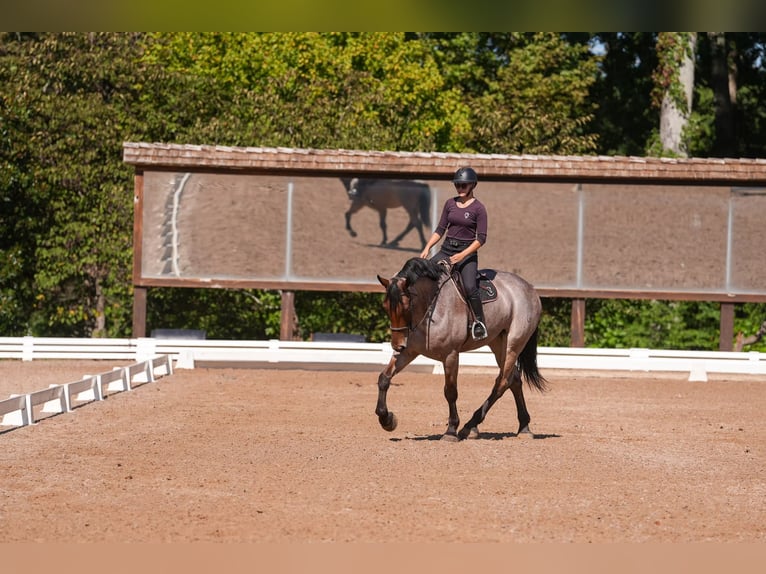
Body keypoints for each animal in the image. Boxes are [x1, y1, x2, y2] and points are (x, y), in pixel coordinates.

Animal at [375, 257, 548, 441]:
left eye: (407, 306)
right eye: (385, 306)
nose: (397, 345)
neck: (429, 305)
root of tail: (529, 287)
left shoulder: (450, 354)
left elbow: (450, 391)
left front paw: (451, 430)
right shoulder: (409, 352)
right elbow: (384, 378)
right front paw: (387, 420)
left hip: (513, 345)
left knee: (502, 382)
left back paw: (470, 426)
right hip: (498, 343)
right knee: (514, 379)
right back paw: (523, 427)